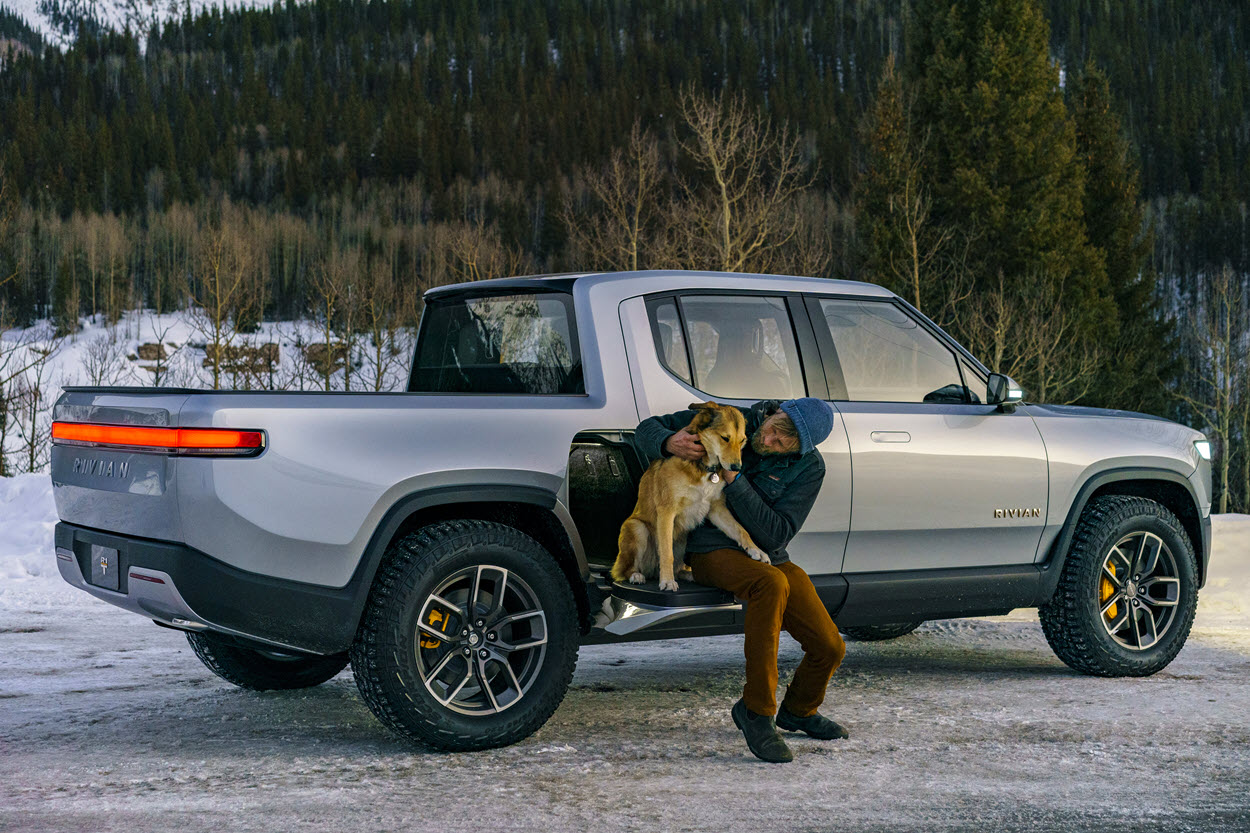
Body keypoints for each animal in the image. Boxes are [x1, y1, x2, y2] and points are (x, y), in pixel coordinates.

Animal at [610, 400, 765, 587]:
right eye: (725, 438)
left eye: (742, 440)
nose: (736, 468)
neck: (705, 468)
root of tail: (652, 571)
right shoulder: (667, 512)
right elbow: (666, 553)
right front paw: (667, 581)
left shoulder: (716, 509)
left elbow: (740, 529)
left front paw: (756, 550)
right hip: (637, 528)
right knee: (624, 570)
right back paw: (637, 575)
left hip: (683, 539)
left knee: (678, 568)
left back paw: (689, 575)